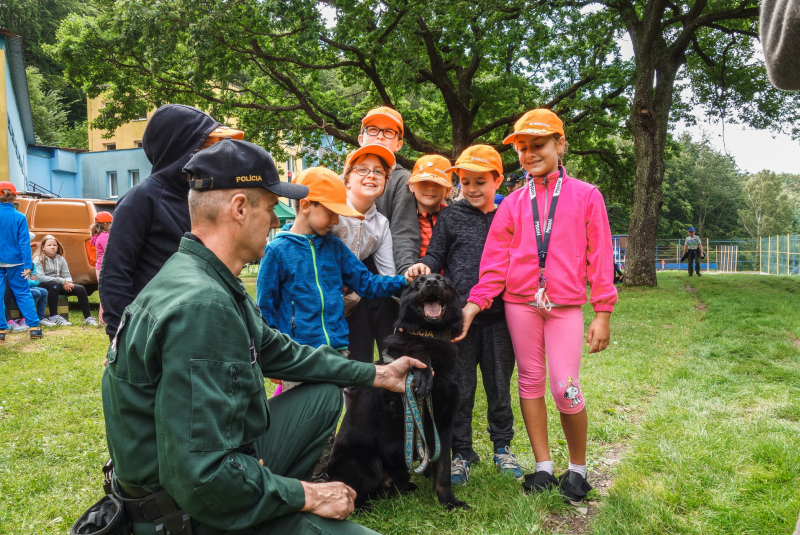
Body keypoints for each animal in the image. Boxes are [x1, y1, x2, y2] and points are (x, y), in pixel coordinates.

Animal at [326, 276, 468, 510]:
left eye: (443, 280)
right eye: (418, 282)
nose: (431, 282)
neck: (429, 335)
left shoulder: (443, 426)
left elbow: (443, 470)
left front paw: (448, 502)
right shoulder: (393, 400)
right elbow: (418, 354)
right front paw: (422, 373)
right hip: (368, 459)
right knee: (350, 494)